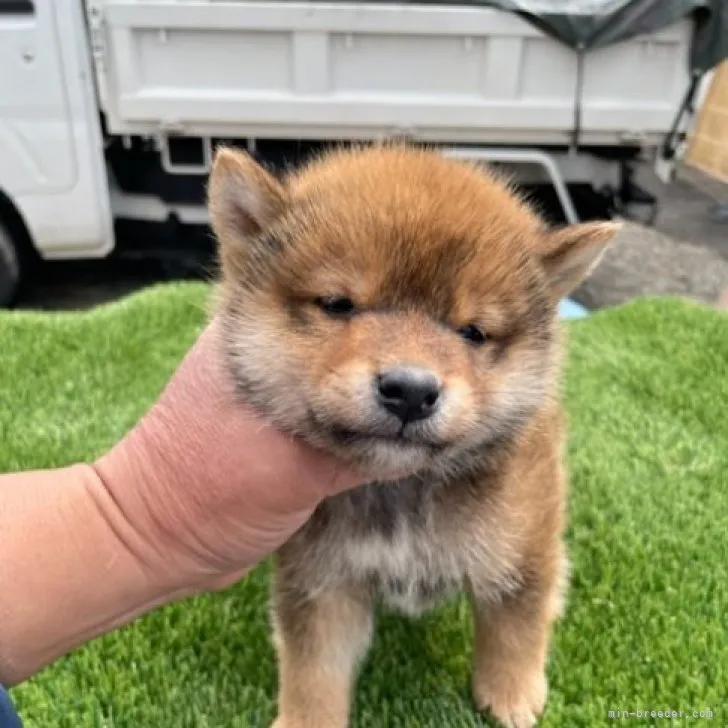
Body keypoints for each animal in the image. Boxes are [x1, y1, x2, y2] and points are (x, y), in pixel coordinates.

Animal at [206, 144, 620, 728]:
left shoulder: (522, 549)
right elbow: (314, 670)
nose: (410, 390)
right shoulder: (321, 580)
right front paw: (307, 719)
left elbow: (516, 627)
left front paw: (512, 695)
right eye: (337, 304)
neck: (400, 491)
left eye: (473, 332)